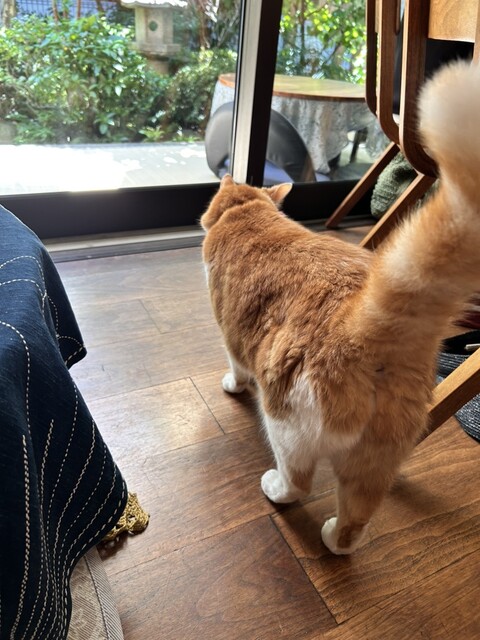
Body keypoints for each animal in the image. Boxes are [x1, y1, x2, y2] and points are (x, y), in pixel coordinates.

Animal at [200, 60, 480, 555]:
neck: (249, 213)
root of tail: (364, 325)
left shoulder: (231, 330)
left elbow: (236, 364)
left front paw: (234, 385)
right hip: (377, 457)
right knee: (357, 513)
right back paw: (336, 539)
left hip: (286, 423)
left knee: (299, 481)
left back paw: (275, 488)